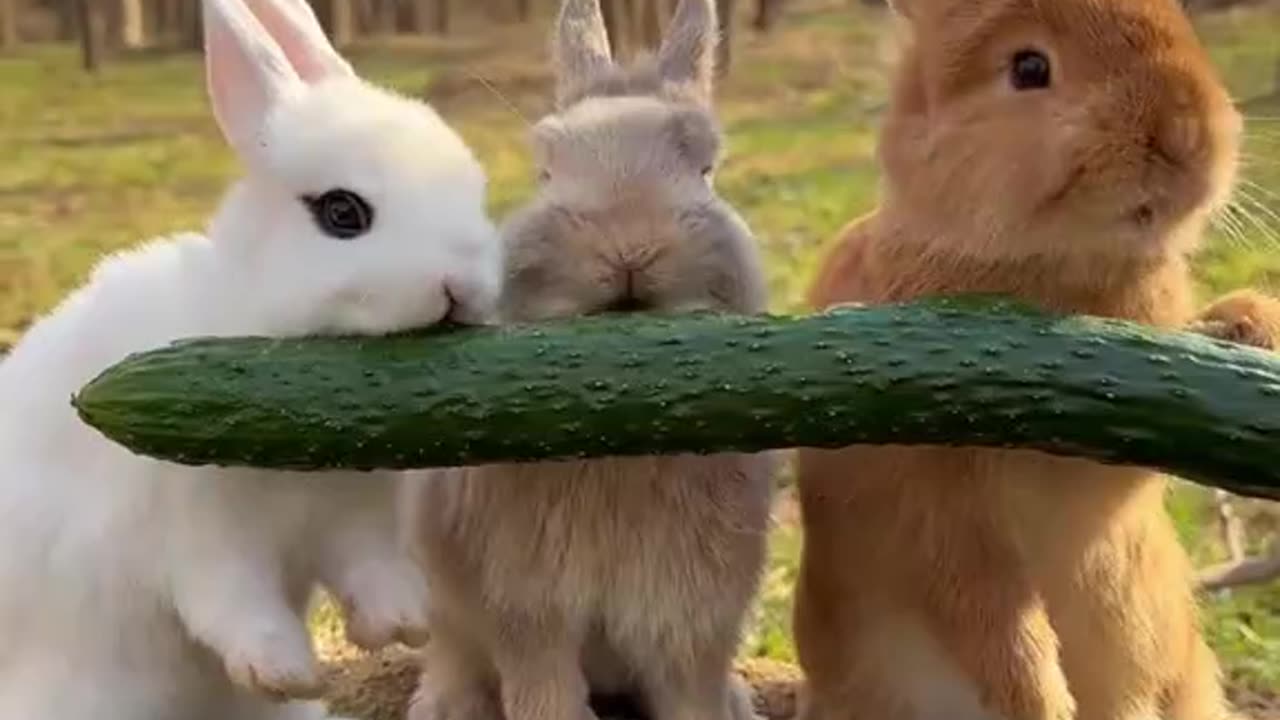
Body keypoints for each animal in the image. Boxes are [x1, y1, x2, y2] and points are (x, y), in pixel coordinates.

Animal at [0, 1, 499, 717]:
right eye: (342, 212)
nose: (464, 286)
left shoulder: (358, 520)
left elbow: (371, 568)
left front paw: (401, 622)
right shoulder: (200, 538)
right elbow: (234, 603)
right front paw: (285, 670)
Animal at [404, 1, 773, 717]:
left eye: (707, 169)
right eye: (546, 171)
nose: (628, 251)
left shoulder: (692, 617)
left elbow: (691, 692)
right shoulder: (526, 607)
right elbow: (545, 691)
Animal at [793, 1, 1244, 717]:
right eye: (1029, 68)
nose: (1189, 135)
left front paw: (1248, 321)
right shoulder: (945, 518)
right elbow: (995, 619)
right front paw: (1045, 705)